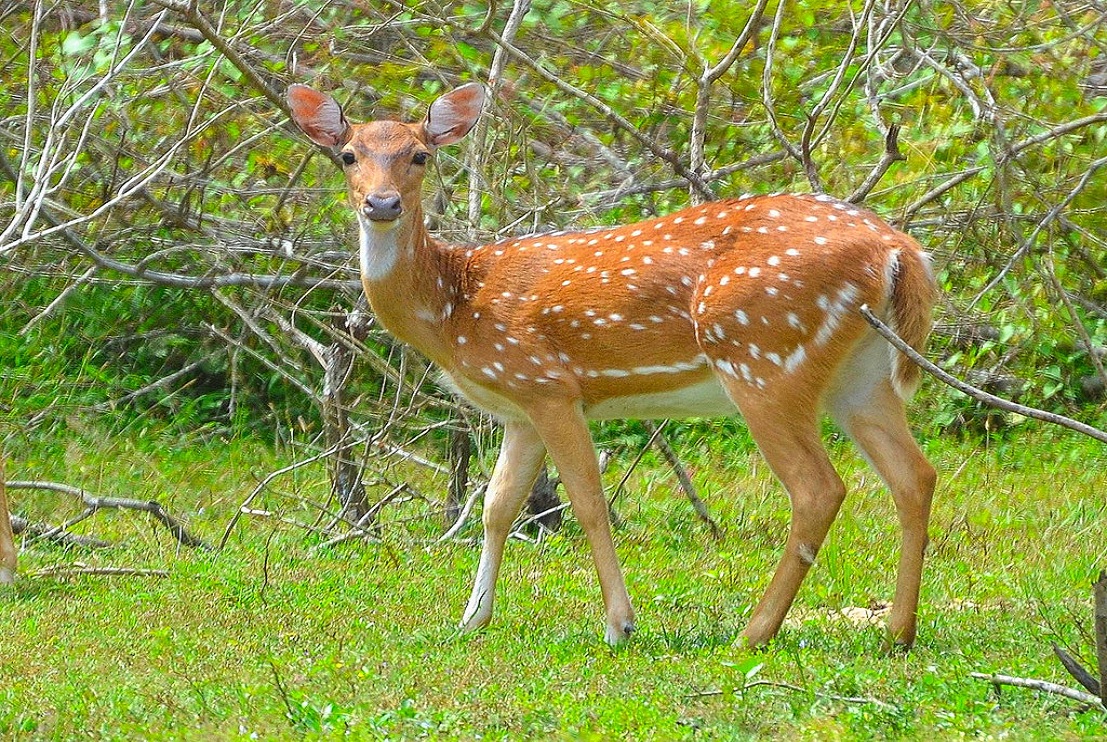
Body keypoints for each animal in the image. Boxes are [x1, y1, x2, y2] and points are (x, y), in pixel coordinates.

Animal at [286, 80, 938, 650]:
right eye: (347, 155)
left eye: (419, 155)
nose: (382, 203)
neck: (455, 308)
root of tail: (898, 250)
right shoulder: (519, 407)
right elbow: (498, 507)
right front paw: (472, 619)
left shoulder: (549, 385)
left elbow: (587, 503)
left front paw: (620, 625)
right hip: (861, 375)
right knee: (915, 476)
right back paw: (896, 633)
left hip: (762, 357)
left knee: (818, 488)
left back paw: (754, 633)